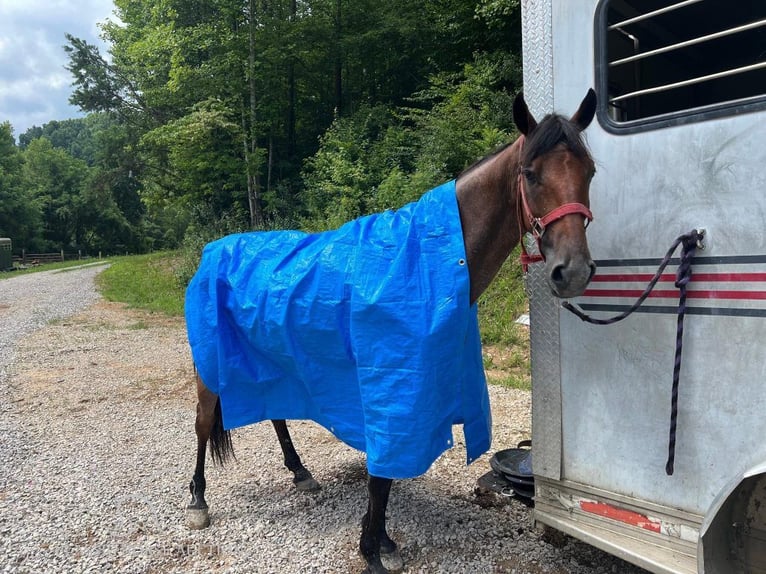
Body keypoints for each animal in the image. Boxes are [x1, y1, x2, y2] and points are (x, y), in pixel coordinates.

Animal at [184, 88, 600, 572]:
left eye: (589, 171)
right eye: (531, 174)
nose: (573, 271)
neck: (430, 261)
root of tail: (213, 250)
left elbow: (383, 478)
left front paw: (381, 541)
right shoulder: (392, 397)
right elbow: (380, 478)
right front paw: (373, 549)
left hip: (273, 360)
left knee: (275, 411)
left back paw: (301, 473)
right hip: (209, 369)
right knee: (203, 423)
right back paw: (198, 501)